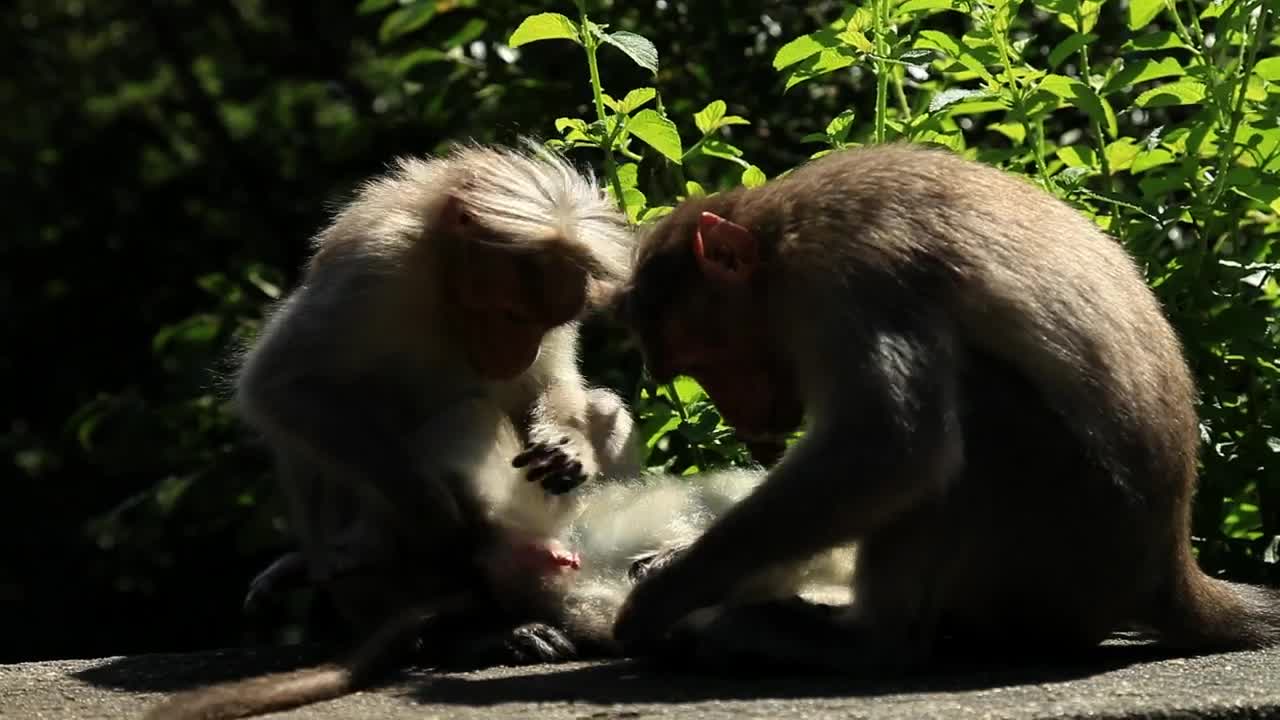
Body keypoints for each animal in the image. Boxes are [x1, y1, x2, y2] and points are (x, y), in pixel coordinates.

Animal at [608, 141, 1280, 673]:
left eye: (709, 362)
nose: (742, 421)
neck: (780, 241)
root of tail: (1170, 568)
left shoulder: (849, 278)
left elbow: (891, 447)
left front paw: (668, 592)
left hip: (1065, 548)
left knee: (973, 407)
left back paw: (872, 643)